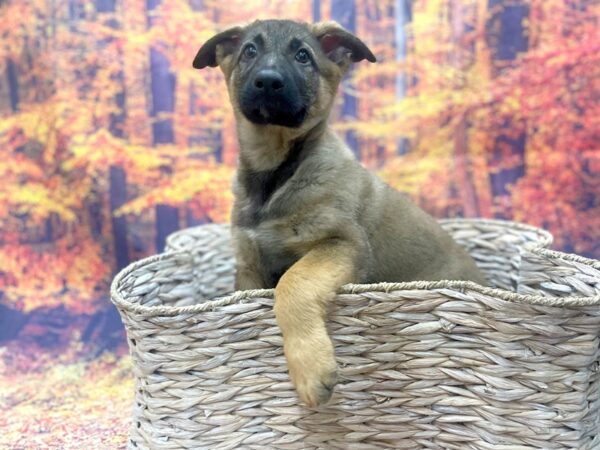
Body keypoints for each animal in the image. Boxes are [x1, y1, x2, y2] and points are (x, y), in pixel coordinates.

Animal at [195, 20, 486, 408]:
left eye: (303, 56)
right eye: (249, 51)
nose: (268, 81)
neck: (274, 174)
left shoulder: (343, 243)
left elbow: (294, 283)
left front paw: (310, 368)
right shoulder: (250, 266)